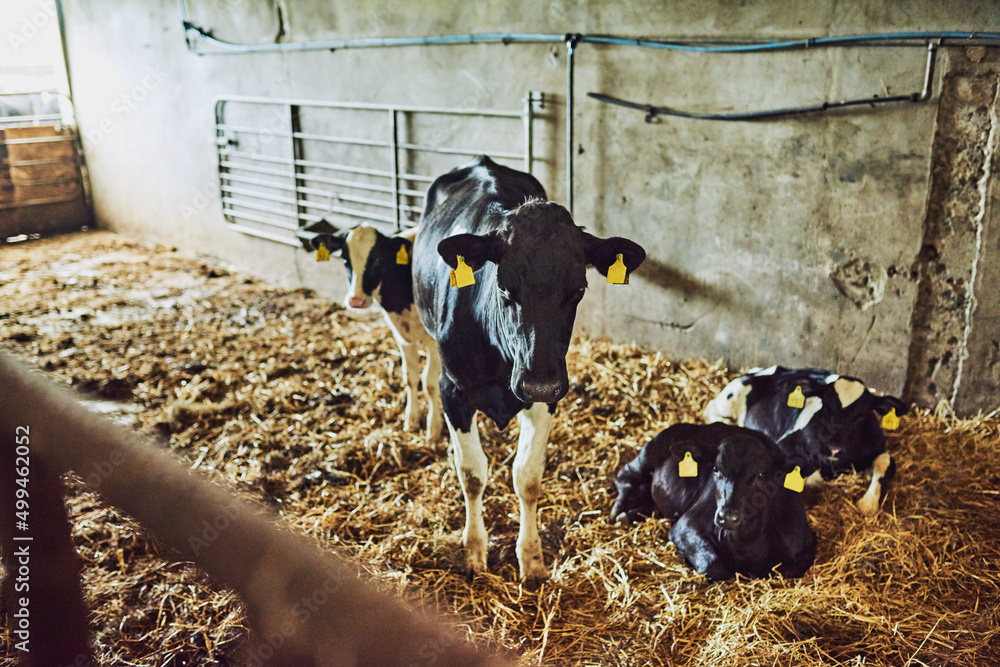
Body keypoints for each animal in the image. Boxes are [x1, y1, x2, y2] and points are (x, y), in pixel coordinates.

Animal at [298, 220, 444, 444]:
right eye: (345, 260)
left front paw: (433, 428)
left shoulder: (433, 341)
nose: (356, 300)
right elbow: (410, 377)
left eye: (377, 260)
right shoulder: (401, 336)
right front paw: (411, 419)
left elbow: (429, 382)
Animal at [414, 157, 648, 584]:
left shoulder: (548, 398)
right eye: (505, 288)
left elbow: (528, 476)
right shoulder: (456, 391)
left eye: (578, 290)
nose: (539, 382)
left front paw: (532, 558)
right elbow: (472, 473)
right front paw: (475, 551)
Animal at [608, 426, 820, 580]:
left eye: (761, 475)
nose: (728, 517)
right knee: (625, 476)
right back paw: (619, 513)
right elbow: (715, 566)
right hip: (650, 451)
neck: (746, 543)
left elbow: (779, 573)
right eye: (716, 469)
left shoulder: (805, 548)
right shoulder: (685, 525)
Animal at [704, 366, 908, 516]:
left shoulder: (877, 447)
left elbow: (884, 462)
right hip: (730, 396)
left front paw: (868, 504)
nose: (832, 448)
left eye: (861, 416)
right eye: (826, 406)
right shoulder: (785, 444)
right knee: (710, 411)